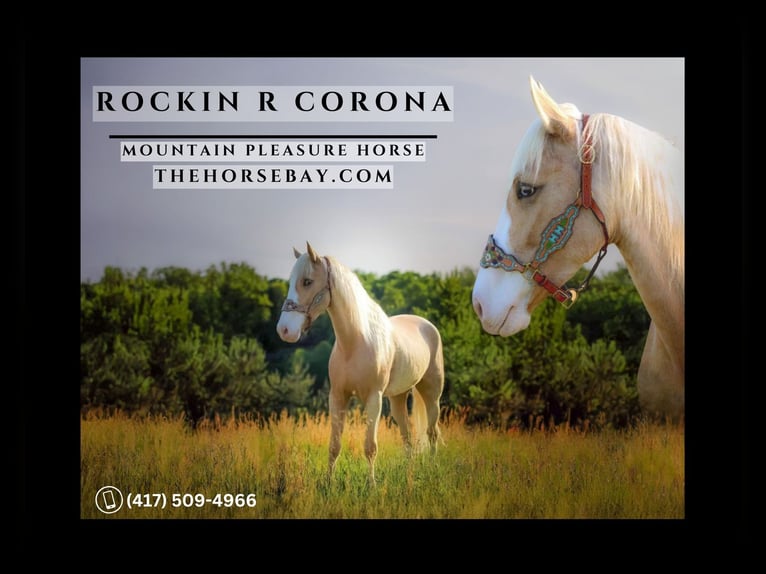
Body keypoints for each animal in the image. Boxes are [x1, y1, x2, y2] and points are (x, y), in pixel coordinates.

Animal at [276, 243, 445, 483]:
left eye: (307, 281)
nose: (284, 330)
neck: (355, 342)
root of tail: (427, 325)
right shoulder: (337, 397)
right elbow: (334, 445)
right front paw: (328, 482)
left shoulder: (373, 398)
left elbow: (370, 447)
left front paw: (371, 484)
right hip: (398, 397)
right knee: (407, 436)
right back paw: (409, 472)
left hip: (432, 393)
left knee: (432, 432)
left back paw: (432, 468)